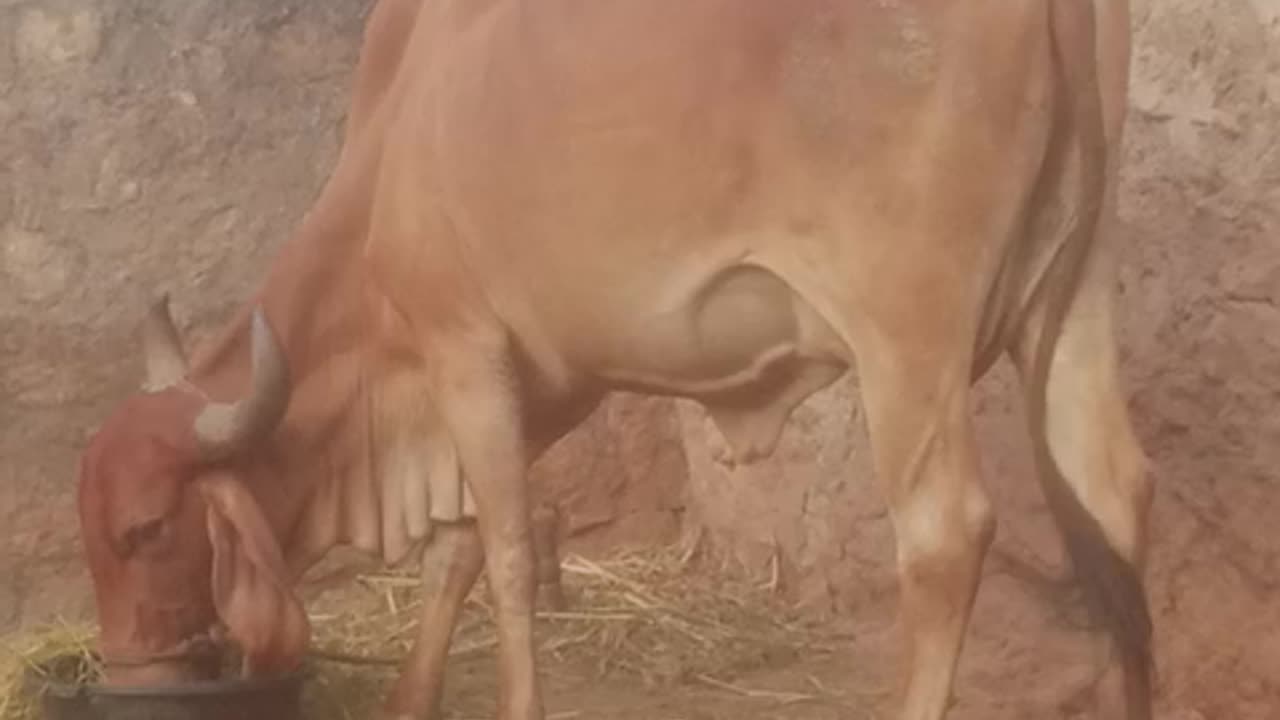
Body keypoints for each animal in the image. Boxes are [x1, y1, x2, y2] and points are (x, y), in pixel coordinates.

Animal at [75, 1, 1153, 719]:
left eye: (146, 529)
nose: (125, 675)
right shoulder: (550, 378)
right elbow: (459, 545)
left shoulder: (465, 347)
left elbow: (506, 553)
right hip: (1075, 291)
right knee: (1113, 494)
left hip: (906, 328)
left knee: (942, 533)